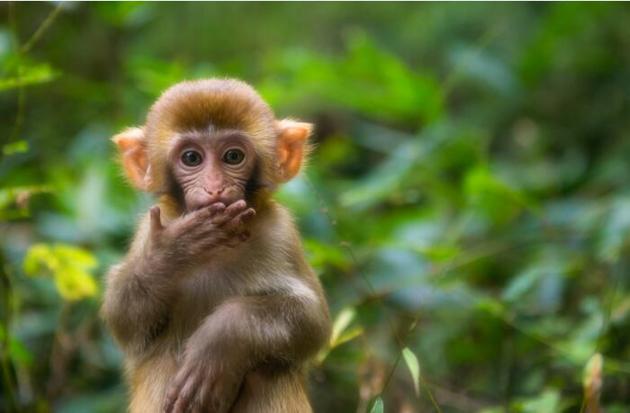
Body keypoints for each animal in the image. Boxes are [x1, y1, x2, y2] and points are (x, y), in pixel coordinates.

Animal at [101, 78, 334, 412]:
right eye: (191, 158)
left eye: (233, 157)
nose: (214, 187)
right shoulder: (149, 228)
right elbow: (124, 318)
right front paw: (174, 250)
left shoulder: (281, 233)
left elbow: (312, 319)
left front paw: (220, 342)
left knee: (270, 374)